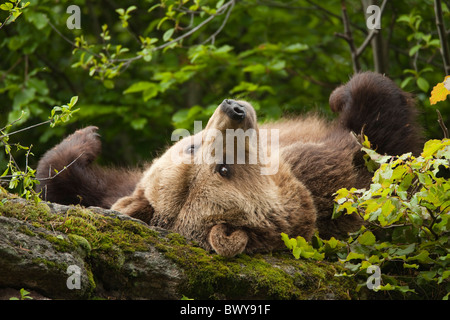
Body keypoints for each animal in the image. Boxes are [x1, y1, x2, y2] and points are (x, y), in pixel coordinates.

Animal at [35, 72, 422, 258]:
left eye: (191, 147)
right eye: (224, 169)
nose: (234, 109)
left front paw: (86, 135)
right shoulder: (329, 182)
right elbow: (379, 143)